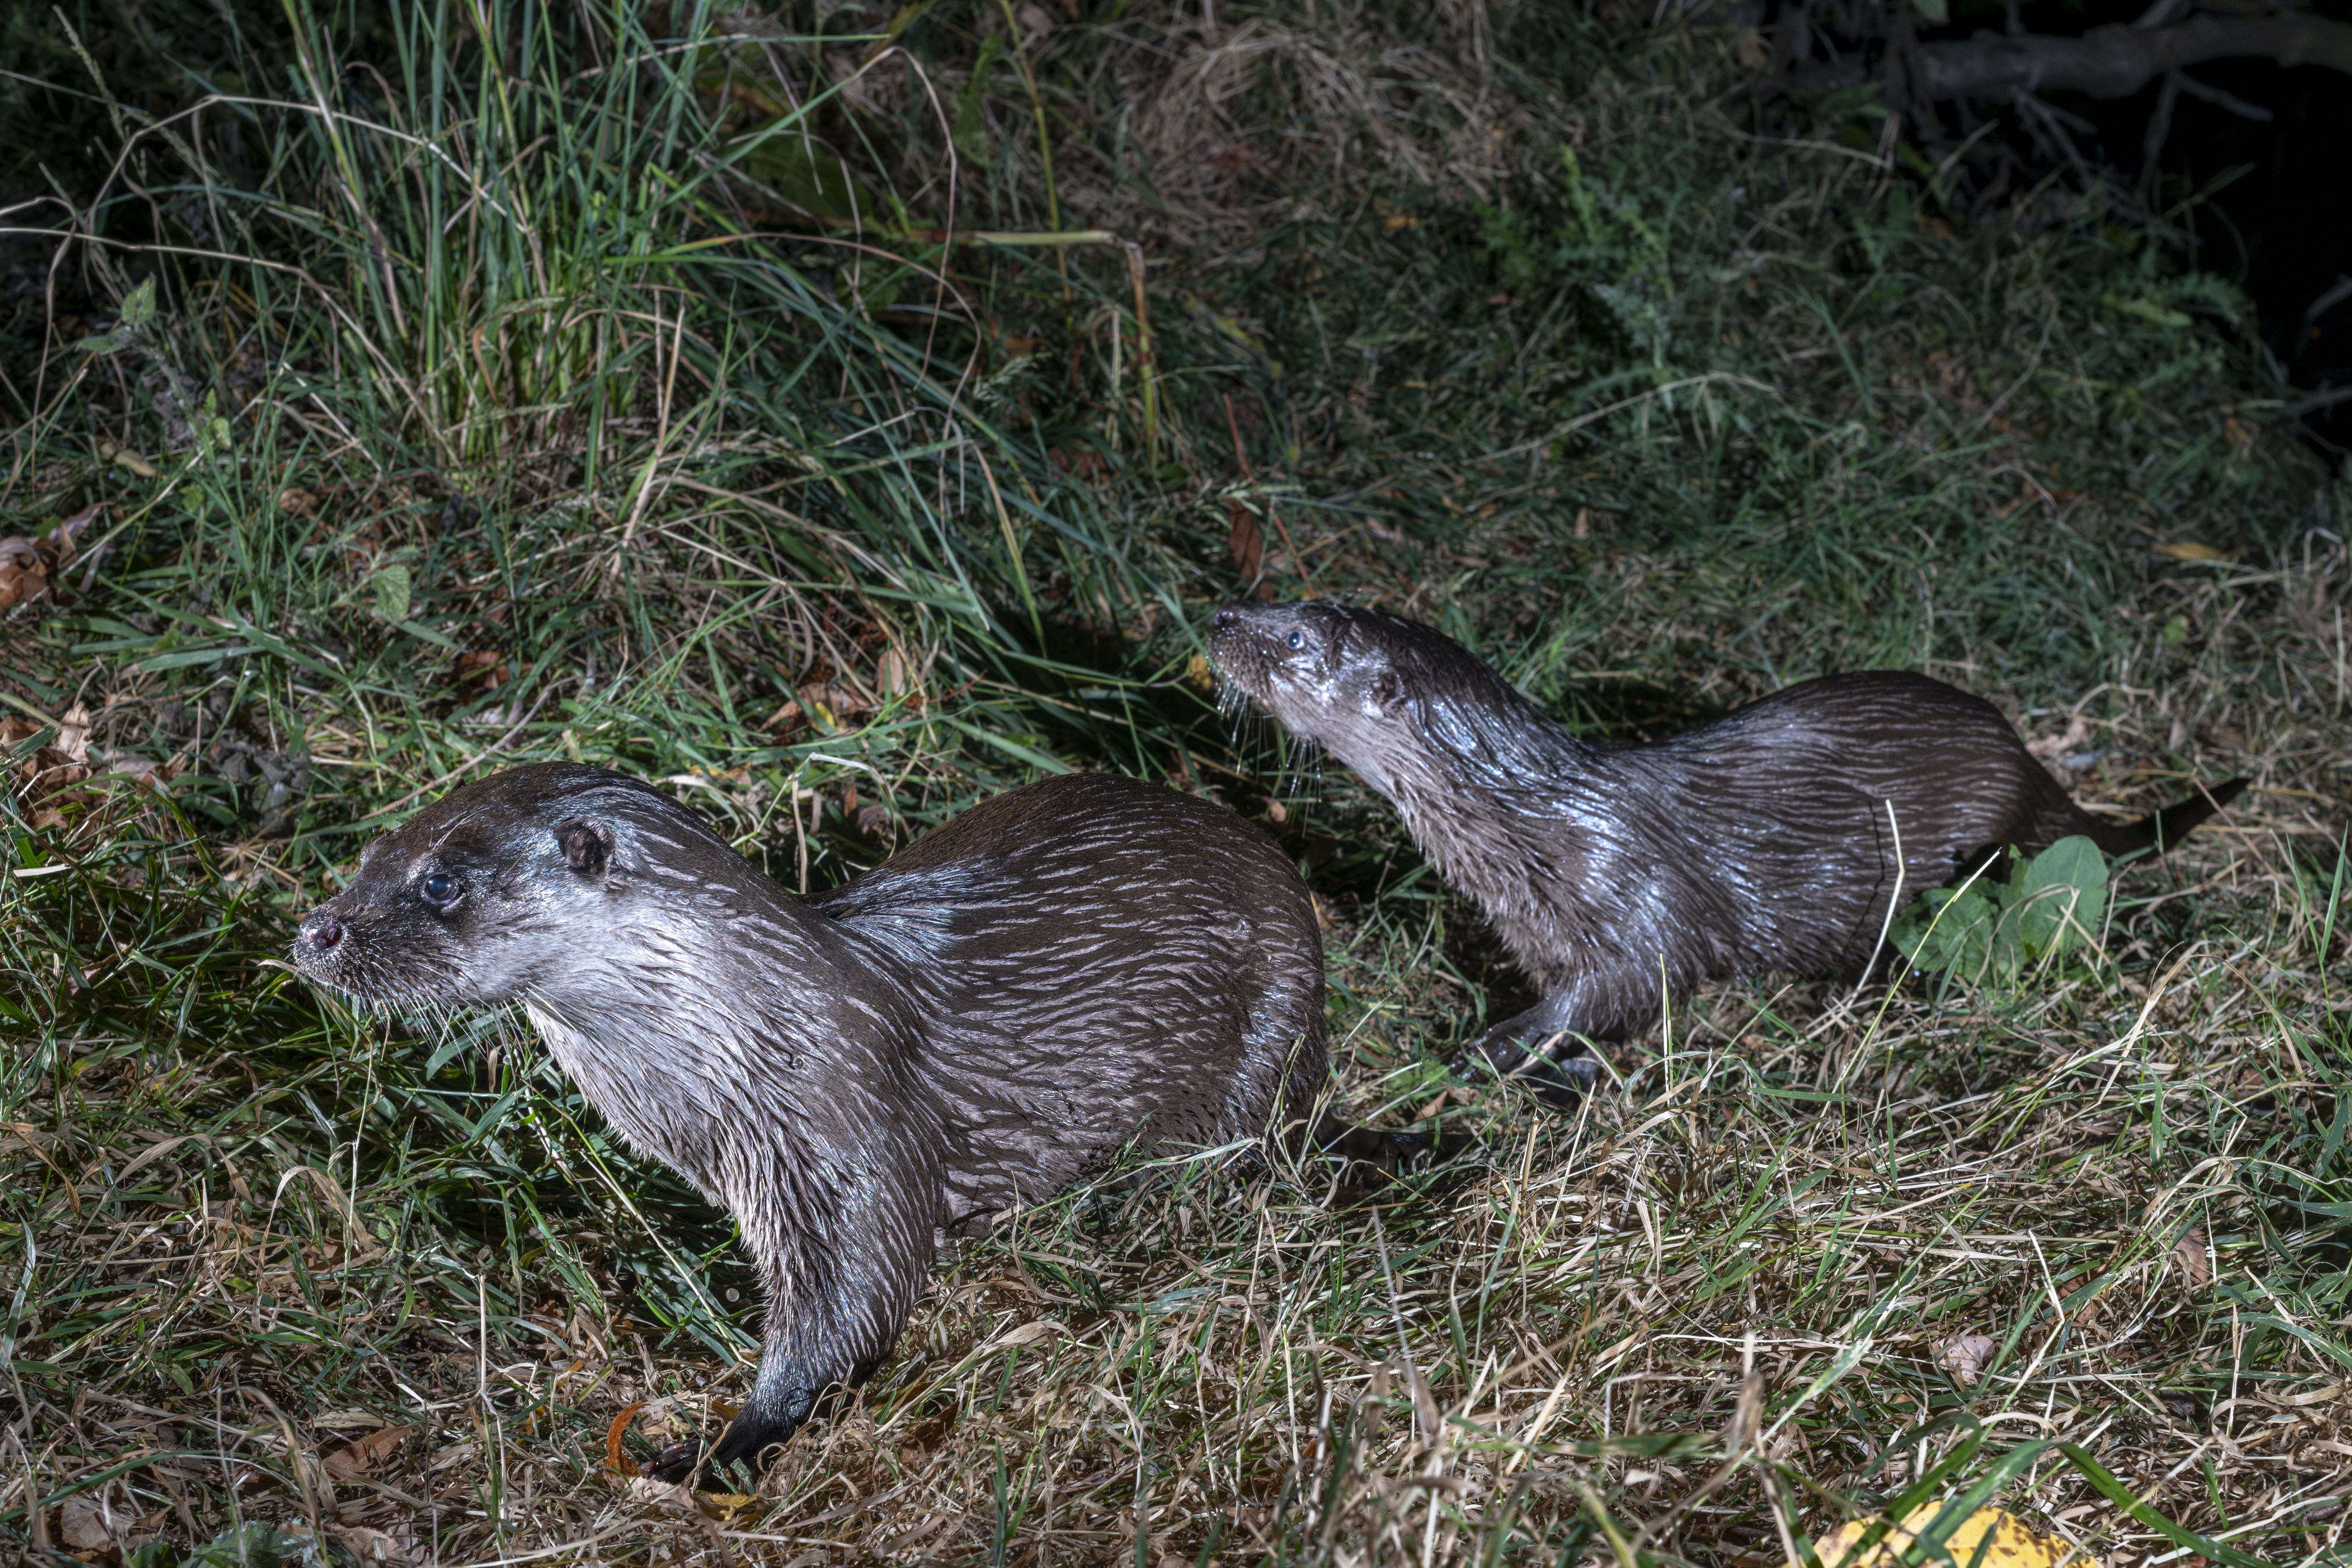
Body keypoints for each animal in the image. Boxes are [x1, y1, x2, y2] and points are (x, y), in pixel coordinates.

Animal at [291, 763, 1382, 1480]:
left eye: (442, 882)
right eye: (371, 850)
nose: (316, 927)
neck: (738, 1037)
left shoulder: (844, 1142)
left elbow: (851, 1310)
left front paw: (714, 1452)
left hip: (1269, 1030)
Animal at [1210, 600, 2245, 1092]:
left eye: (1293, 635)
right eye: (1287, 596)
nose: (1221, 614)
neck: (1532, 824)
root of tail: (2035, 770)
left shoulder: (1632, 904)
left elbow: (1627, 992)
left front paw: (1485, 1052)